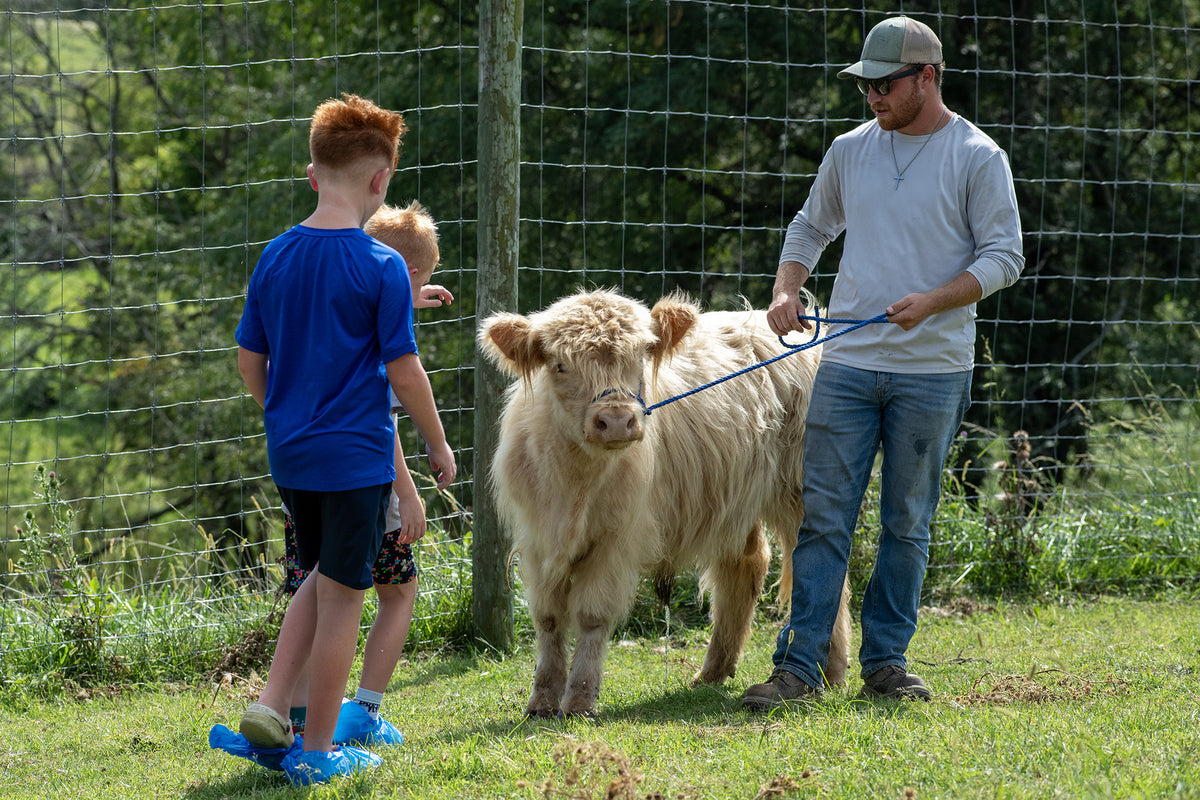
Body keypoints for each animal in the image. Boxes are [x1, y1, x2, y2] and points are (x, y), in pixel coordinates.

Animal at [478, 288, 851, 718]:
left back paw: (831, 672)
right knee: (748, 562)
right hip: (733, 495)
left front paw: (579, 700)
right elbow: (548, 617)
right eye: (559, 365)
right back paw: (713, 671)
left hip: (801, 488)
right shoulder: (537, 539)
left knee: (823, 569)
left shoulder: (617, 539)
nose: (616, 420)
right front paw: (540, 700)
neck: (575, 485)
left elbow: (591, 615)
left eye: (640, 357)